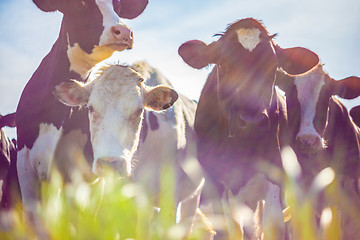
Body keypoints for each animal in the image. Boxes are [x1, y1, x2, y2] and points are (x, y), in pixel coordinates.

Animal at [178, 17, 320, 239]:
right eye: (223, 65)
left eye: (273, 68)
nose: (252, 121)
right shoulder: (215, 177)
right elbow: (227, 226)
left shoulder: (275, 165)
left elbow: (274, 223)